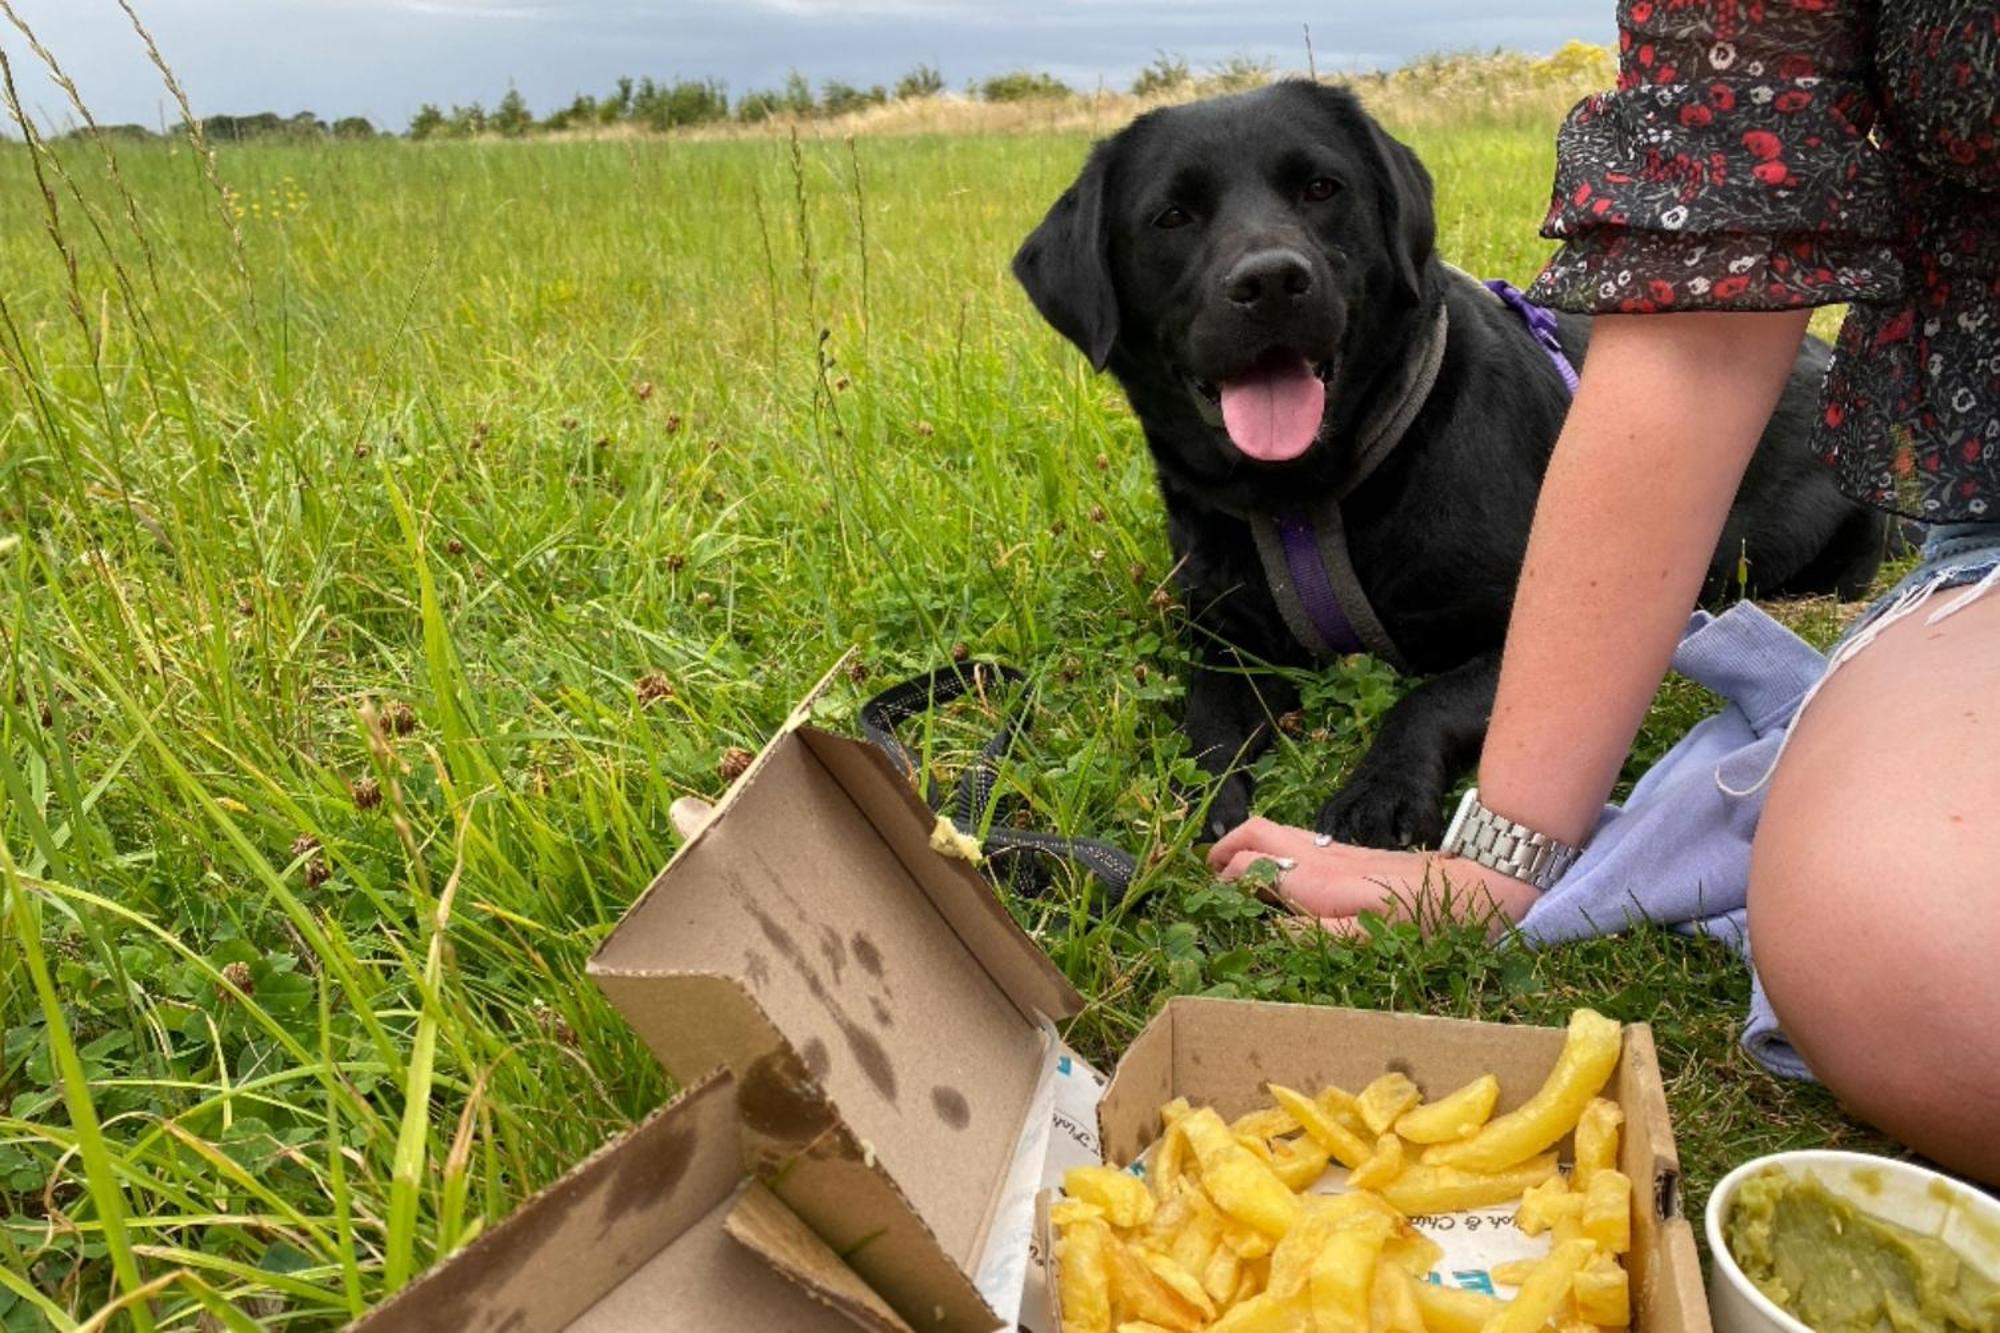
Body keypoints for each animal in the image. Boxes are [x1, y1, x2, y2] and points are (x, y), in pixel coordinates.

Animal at [1016, 83, 1888, 844]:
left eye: (1322, 187)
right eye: (1172, 216)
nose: (1269, 280)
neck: (1309, 498)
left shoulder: (1527, 627)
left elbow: (1431, 696)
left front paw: (1380, 790)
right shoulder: (1226, 644)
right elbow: (1207, 721)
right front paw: (1210, 800)